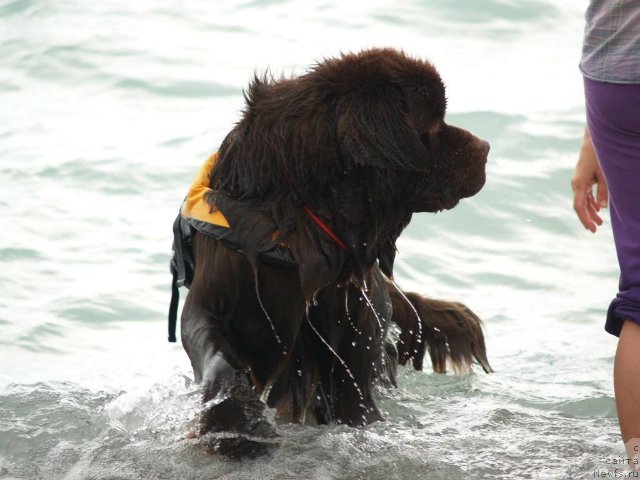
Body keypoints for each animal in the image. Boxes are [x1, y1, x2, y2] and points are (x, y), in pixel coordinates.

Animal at [168, 47, 492, 458]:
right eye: (434, 123)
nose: (486, 148)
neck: (302, 211)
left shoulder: (351, 322)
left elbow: (353, 397)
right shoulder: (218, 290)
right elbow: (216, 352)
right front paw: (236, 422)